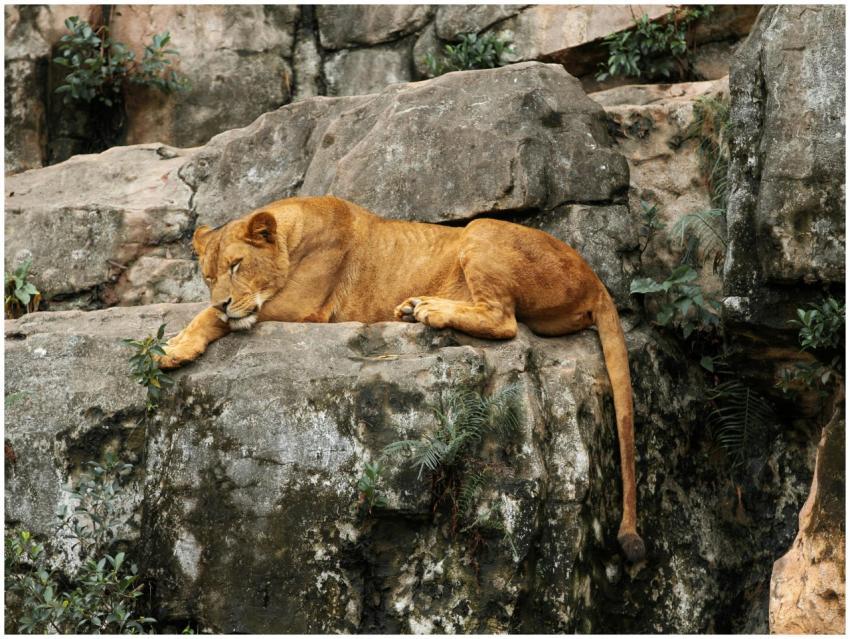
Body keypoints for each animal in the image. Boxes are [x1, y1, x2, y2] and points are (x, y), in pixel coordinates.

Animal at [159, 195, 645, 562]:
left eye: (237, 266)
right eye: (208, 275)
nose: (222, 300)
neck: (296, 230)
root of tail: (596, 279)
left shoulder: (303, 307)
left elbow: (209, 318)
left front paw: (175, 347)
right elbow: (204, 314)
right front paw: (184, 333)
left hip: (481, 230)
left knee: (503, 320)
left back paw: (428, 309)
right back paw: (414, 306)